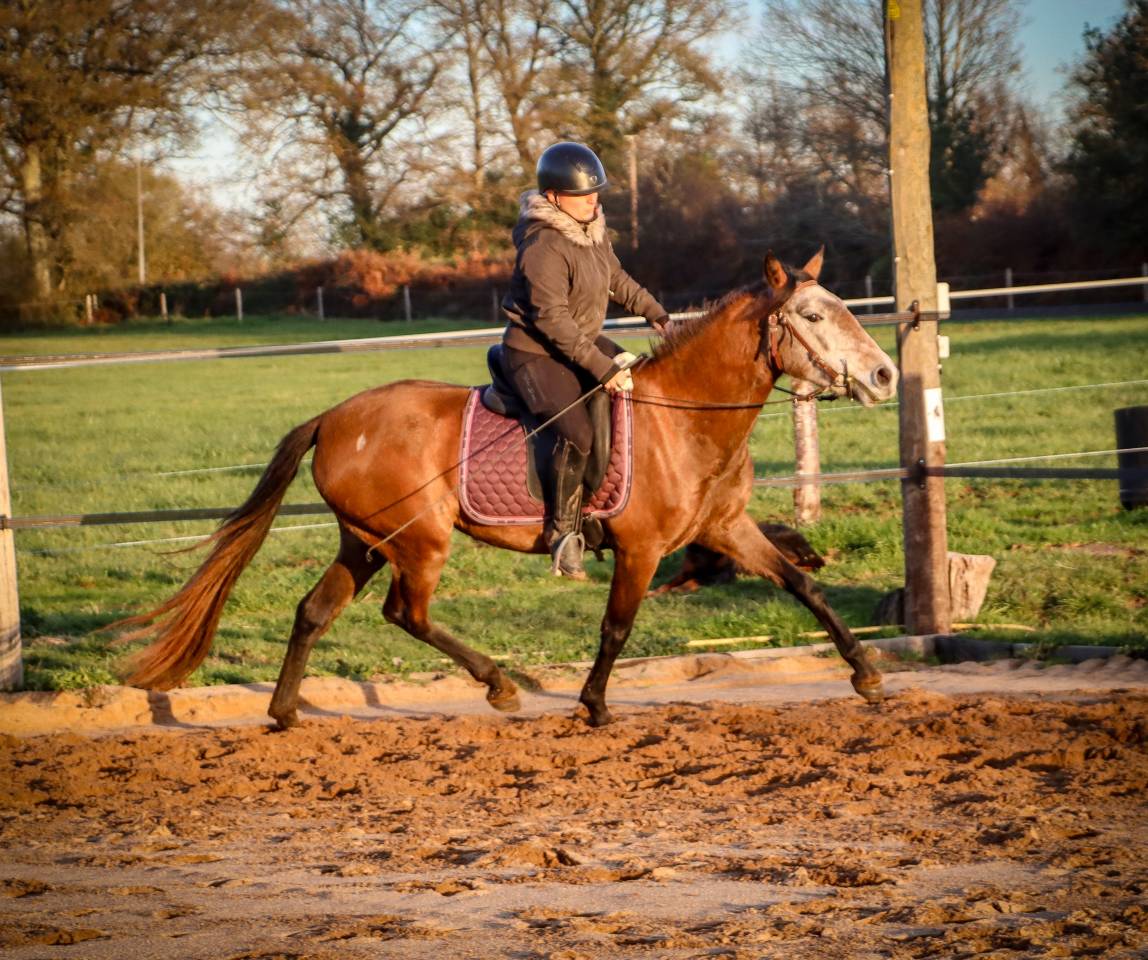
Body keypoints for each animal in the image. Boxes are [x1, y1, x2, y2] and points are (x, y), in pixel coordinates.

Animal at [118, 248, 899, 728]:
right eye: (814, 316)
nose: (885, 375)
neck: (684, 417)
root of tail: (335, 417)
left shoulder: (726, 530)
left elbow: (803, 585)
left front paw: (865, 673)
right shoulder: (641, 549)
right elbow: (617, 627)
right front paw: (593, 705)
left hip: (366, 540)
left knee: (315, 611)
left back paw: (283, 713)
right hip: (420, 543)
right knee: (406, 613)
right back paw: (498, 684)